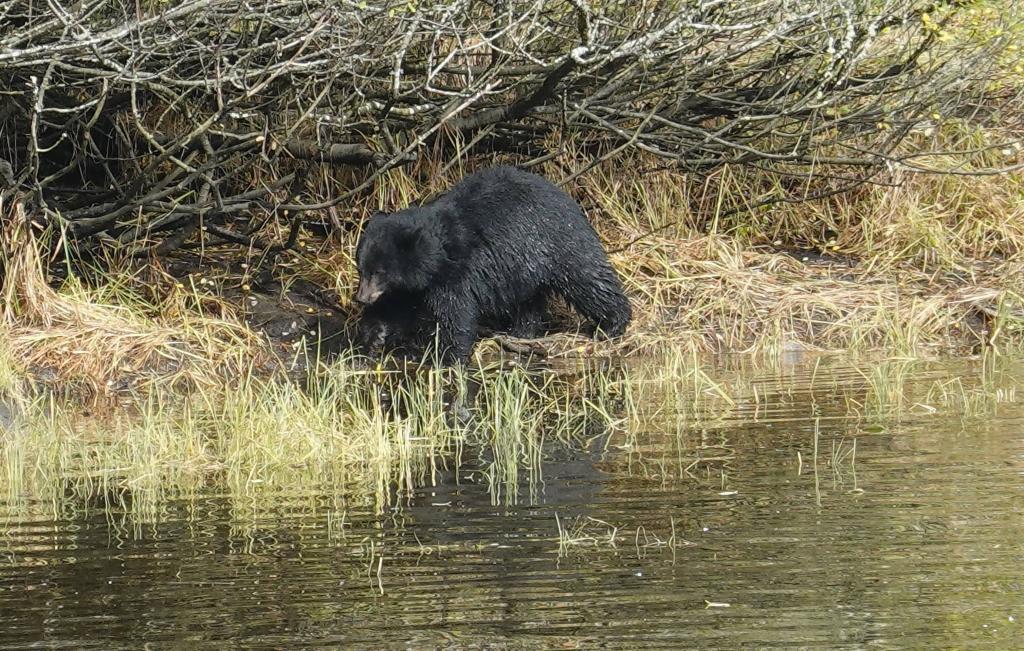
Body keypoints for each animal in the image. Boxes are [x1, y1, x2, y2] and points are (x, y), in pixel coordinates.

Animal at [360, 164, 630, 364]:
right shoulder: (412, 287)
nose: (361, 298)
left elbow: (456, 316)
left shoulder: (458, 274)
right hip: (523, 270)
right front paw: (375, 337)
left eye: (378, 272)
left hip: (558, 243)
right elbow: (397, 308)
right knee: (529, 302)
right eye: (361, 269)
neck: (437, 258)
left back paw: (612, 324)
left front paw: (449, 357)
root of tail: (570, 199)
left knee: (587, 279)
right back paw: (521, 333)